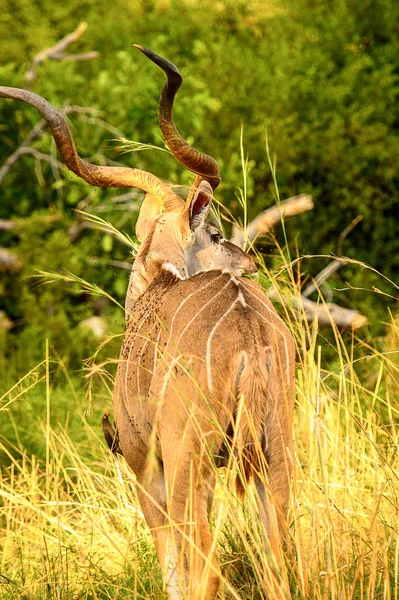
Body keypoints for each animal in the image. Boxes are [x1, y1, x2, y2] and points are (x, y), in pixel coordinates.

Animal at [0, 45, 296, 596]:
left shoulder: (145, 466)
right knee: (281, 558)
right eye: (216, 232)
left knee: (207, 563)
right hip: (274, 452)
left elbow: (171, 566)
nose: (247, 262)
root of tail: (248, 331)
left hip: (188, 461)